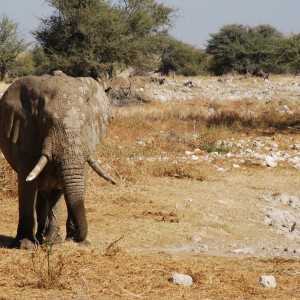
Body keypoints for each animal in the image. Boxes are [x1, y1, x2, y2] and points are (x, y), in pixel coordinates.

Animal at [0, 74, 115, 248]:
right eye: (45, 120)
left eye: (86, 121)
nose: (76, 238)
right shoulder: (26, 133)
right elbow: (27, 182)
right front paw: (26, 245)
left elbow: (70, 182)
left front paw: (69, 242)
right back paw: (40, 238)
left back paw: (49, 239)